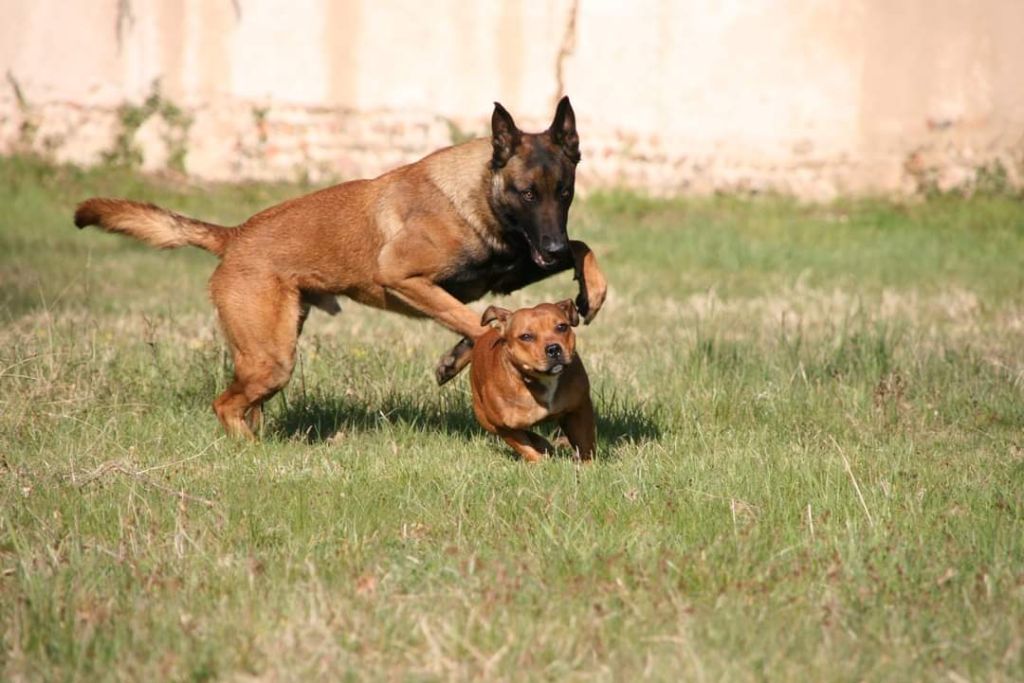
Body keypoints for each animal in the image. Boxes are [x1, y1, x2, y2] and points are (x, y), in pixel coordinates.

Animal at [75, 96, 602, 438]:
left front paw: (591, 292)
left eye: (564, 192)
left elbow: (582, 246)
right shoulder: (403, 277)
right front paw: (470, 357)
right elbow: (476, 324)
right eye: (526, 193)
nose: (550, 246)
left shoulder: (511, 268)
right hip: (272, 360)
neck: (478, 194)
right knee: (225, 405)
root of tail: (235, 235)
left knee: (244, 405)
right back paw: (250, 453)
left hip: (271, 351)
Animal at [468, 301, 598, 462]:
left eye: (562, 327)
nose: (553, 348)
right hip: (485, 419)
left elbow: (585, 441)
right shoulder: (503, 426)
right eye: (526, 336)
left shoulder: (579, 408)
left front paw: (587, 463)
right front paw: (540, 461)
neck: (542, 379)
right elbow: (524, 447)